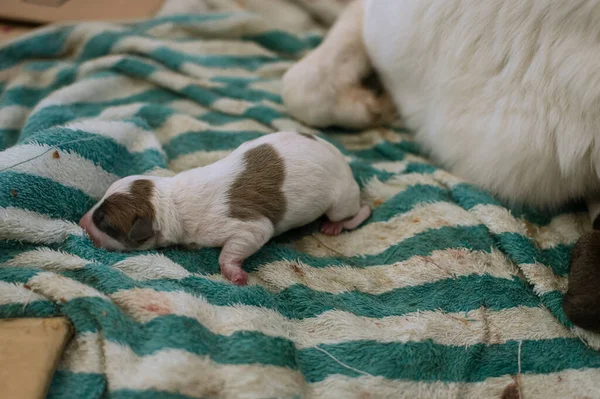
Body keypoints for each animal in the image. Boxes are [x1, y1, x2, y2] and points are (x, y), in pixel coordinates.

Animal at [79, 133, 370, 286]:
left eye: (105, 223)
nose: (81, 223)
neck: (168, 201)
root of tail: (342, 159)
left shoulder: (246, 224)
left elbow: (241, 242)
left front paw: (234, 272)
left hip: (340, 200)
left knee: (355, 213)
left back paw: (339, 223)